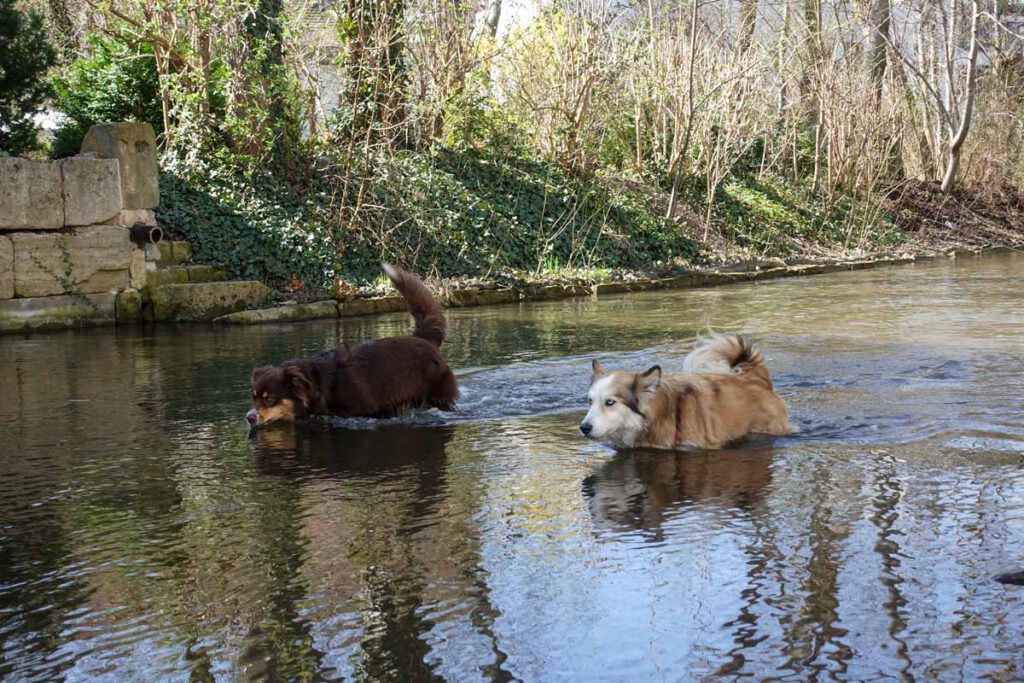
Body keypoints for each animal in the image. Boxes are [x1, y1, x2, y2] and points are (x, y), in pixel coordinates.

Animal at [245, 264, 458, 428]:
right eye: (254, 397)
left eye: (269, 398)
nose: (248, 418)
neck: (318, 384)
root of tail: (424, 338)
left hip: (438, 395)